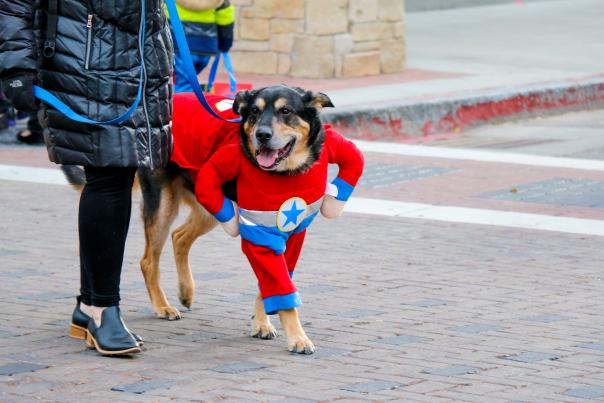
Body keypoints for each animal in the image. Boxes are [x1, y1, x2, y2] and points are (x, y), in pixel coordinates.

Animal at [62, 85, 364, 354]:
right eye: (254, 112)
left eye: (286, 111)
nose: (262, 135)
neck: (285, 174)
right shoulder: (259, 233)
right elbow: (280, 290)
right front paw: (298, 339)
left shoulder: (290, 235)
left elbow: (272, 284)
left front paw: (261, 323)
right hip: (165, 206)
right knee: (149, 260)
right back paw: (162, 306)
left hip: (212, 205)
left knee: (179, 237)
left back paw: (186, 291)